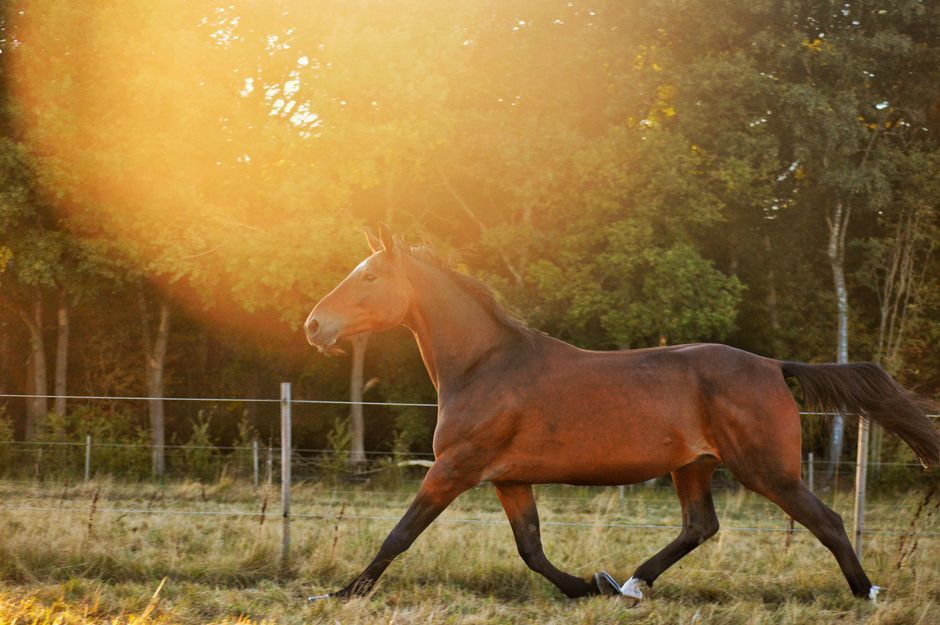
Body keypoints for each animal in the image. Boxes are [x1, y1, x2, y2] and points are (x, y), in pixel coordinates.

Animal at [303, 223, 940, 602]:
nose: (313, 326)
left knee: (826, 521)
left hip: (768, 471)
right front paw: (589, 585)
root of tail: (771, 365)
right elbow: (532, 549)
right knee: (699, 526)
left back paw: (866, 593)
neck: (485, 365)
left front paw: (342, 594)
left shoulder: (454, 468)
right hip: (694, 467)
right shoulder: (509, 478)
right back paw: (630, 583)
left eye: (369, 276)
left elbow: (399, 535)